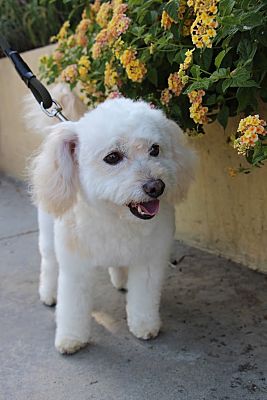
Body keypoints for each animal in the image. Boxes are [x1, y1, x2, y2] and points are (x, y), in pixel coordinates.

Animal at [27, 86, 196, 354]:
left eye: (155, 149)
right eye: (113, 157)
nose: (155, 187)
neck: (116, 219)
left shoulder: (149, 261)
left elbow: (143, 299)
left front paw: (144, 325)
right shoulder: (75, 268)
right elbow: (72, 306)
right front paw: (71, 338)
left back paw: (121, 280)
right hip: (48, 234)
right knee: (49, 262)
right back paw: (48, 293)